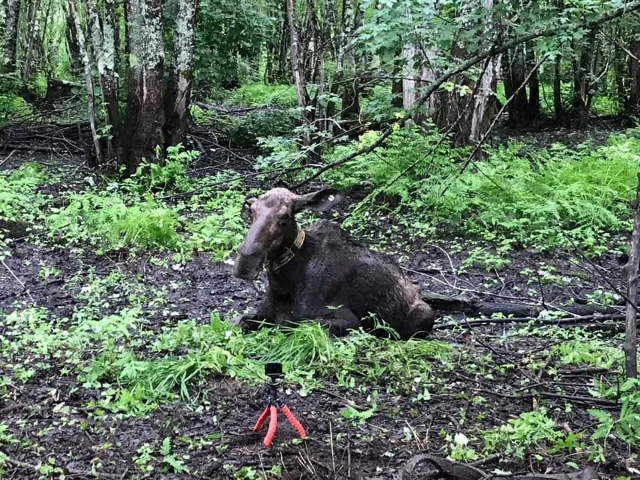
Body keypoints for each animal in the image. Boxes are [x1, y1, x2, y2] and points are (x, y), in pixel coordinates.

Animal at [232, 186, 438, 340]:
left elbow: (293, 326)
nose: (245, 264)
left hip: (423, 315)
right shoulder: (261, 314)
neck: (283, 284)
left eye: (284, 217)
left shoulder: (347, 319)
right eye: (251, 211)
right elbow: (239, 321)